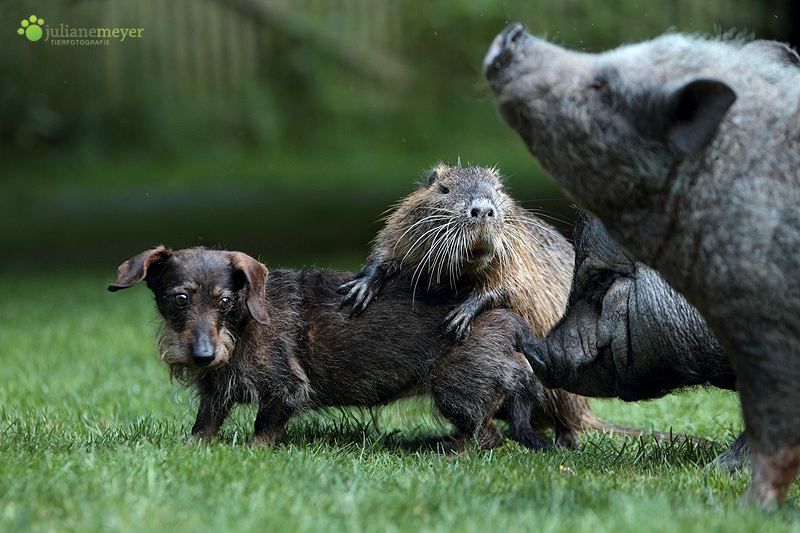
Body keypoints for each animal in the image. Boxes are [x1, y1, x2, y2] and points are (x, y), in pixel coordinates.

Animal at [109, 245, 552, 448]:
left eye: (225, 301)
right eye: (179, 299)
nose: (203, 356)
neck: (243, 328)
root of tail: (513, 321)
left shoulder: (286, 391)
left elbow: (262, 429)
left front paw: (251, 453)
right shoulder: (215, 391)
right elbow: (204, 426)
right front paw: (193, 449)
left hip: (453, 386)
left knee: (486, 436)